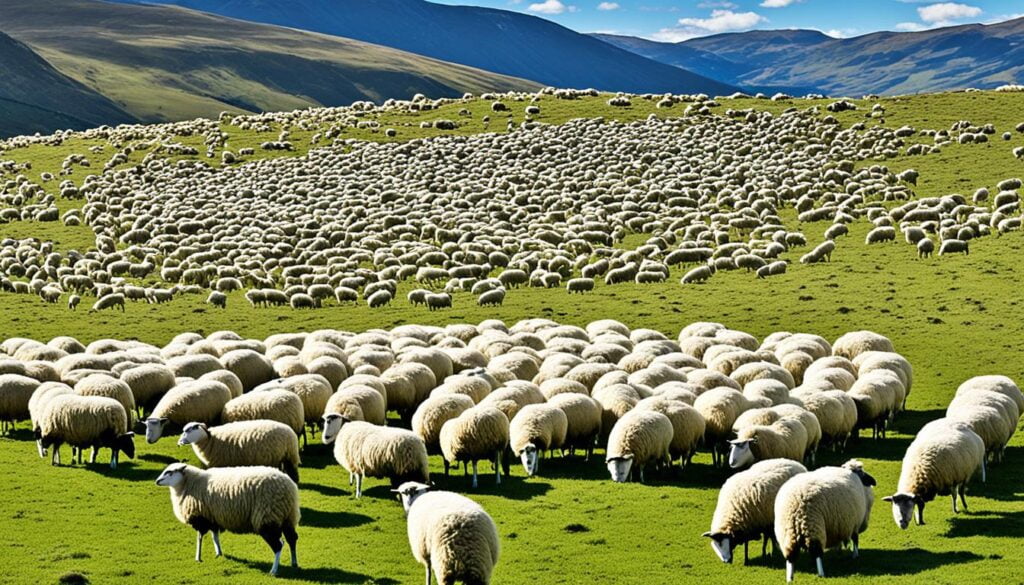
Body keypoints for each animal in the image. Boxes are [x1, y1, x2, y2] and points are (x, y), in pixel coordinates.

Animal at [155, 463, 299, 576]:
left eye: (170, 472)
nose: (157, 481)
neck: (188, 484)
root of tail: (288, 486)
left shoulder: (201, 518)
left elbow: (199, 538)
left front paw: (198, 557)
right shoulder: (213, 517)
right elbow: (215, 536)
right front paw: (219, 553)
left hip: (267, 517)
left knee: (278, 545)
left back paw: (273, 570)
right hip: (288, 517)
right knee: (292, 539)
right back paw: (294, 563)